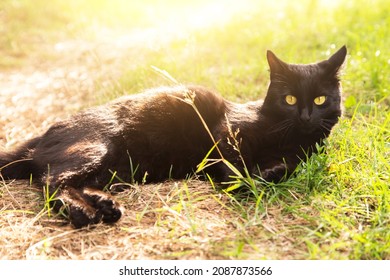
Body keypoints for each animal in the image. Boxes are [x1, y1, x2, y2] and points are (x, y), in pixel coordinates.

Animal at [0, 46, 348, 229]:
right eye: (289, 99)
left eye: (320, 99)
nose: (306, 116)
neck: (288, 140)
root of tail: (44, 134)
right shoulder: (225, 134)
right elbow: (233, 167)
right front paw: (246, 181)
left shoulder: (304, 154)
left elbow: (288, 166)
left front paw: (272, 171)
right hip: (96, 147)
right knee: (51, 182)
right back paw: (84, 213)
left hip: (113, 168)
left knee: (70, 181)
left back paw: (105, 205)